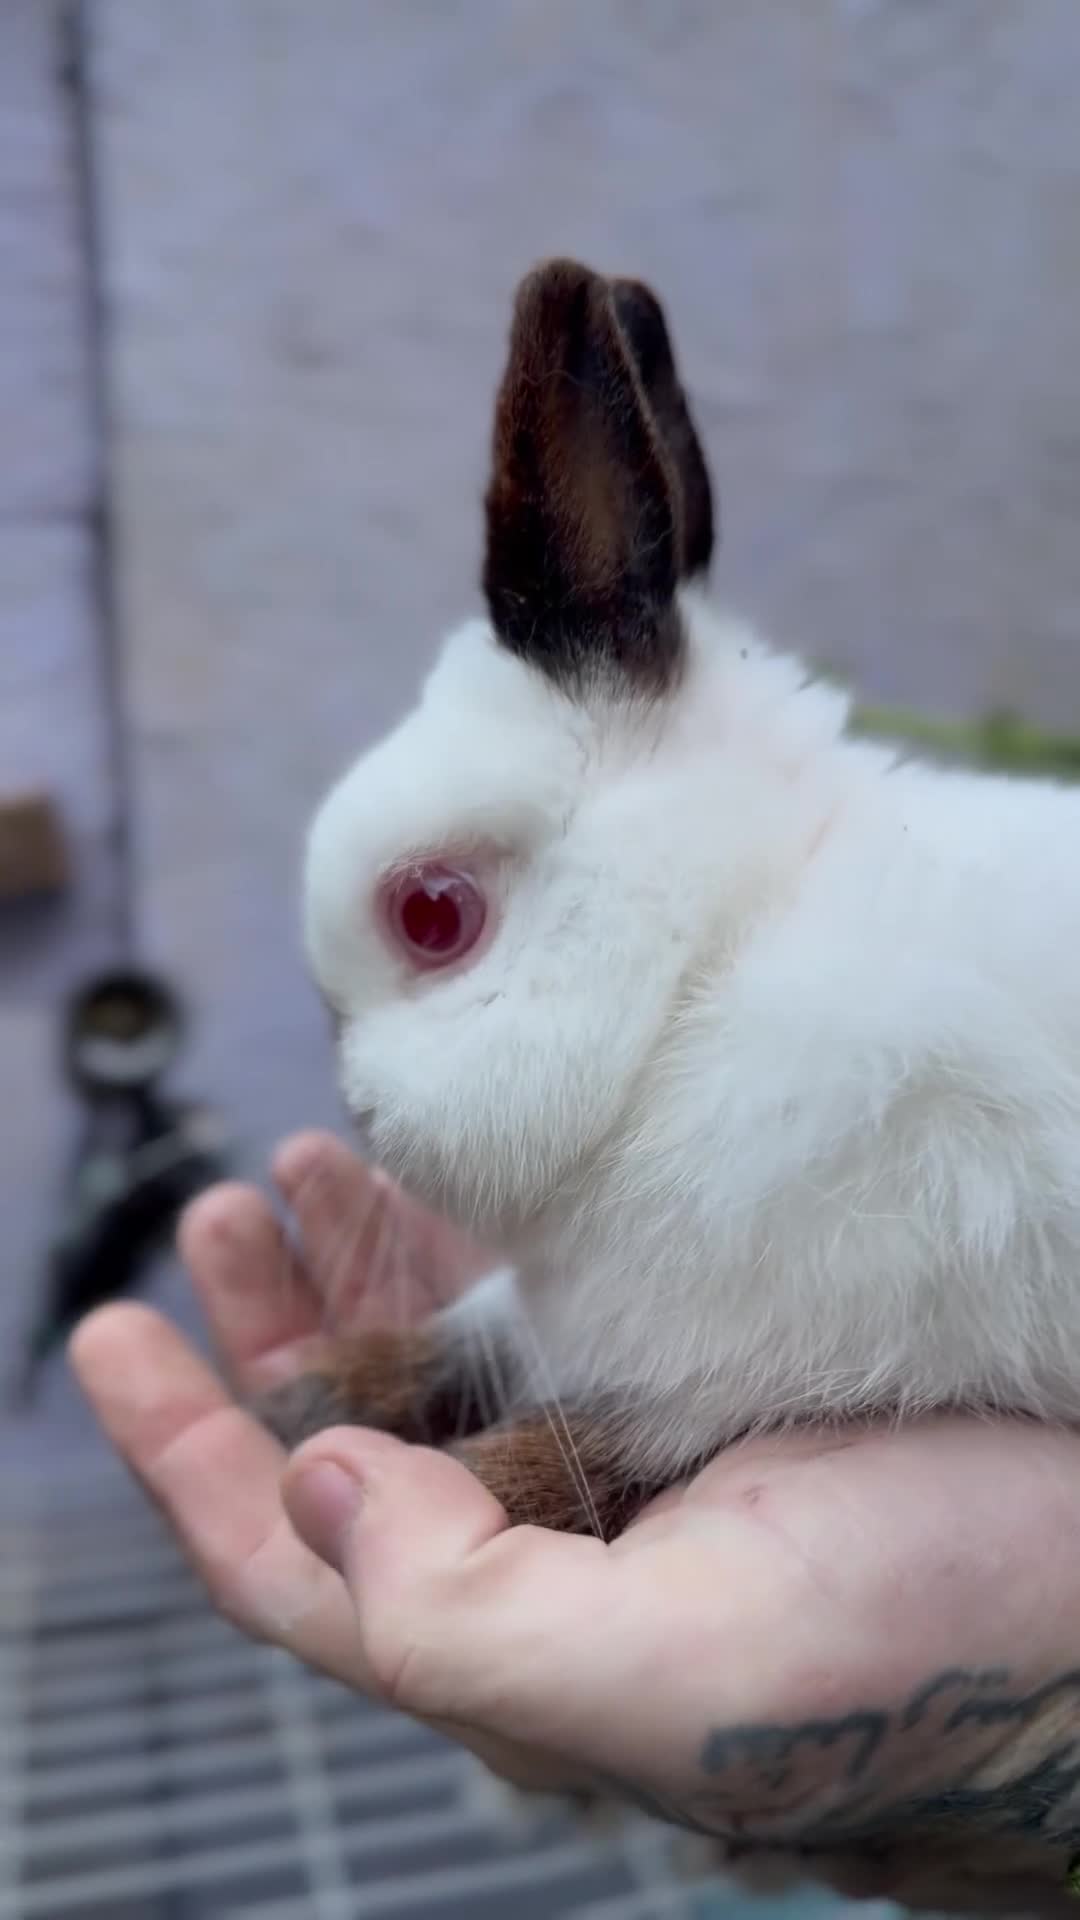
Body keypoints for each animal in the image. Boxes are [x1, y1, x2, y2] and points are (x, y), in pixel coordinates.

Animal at [262, 256, 1080, 1548]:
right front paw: (318, 1387)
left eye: (433, 915)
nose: (360, 1111)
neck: (703, 975)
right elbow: (482, 1328)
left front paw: (486, 1477)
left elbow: (633, 1441)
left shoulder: (800, 1350)